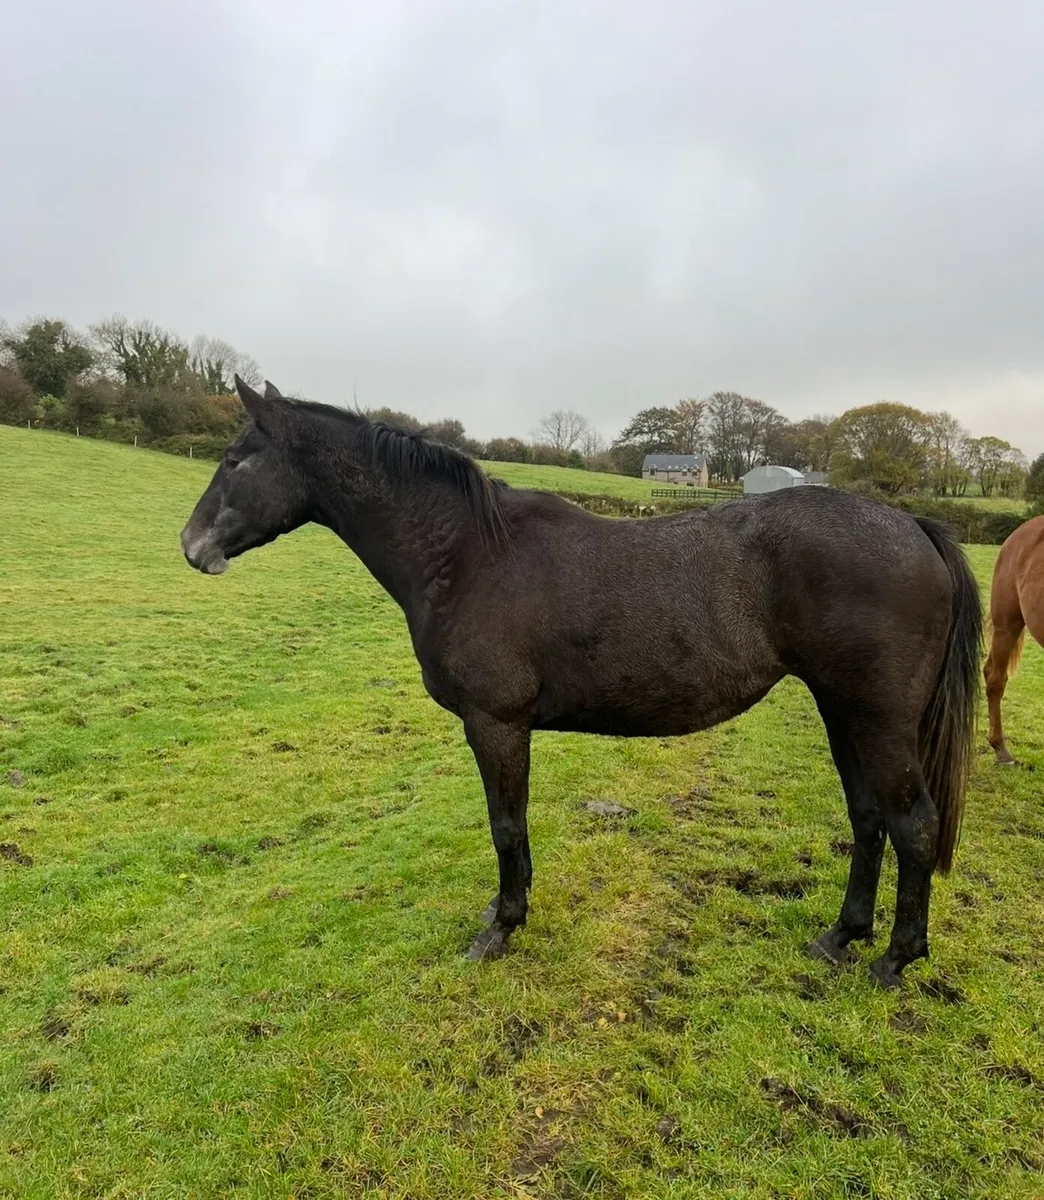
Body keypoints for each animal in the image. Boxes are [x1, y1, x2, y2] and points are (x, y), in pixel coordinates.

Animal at [180, 378, 981, 988]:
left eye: (236, 460)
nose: (191, 547)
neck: (468, 555)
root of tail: (912, 524)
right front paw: (504, 916)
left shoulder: (496, 722)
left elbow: (507, 826)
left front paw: (499, 930)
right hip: (842, 711)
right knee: (869, 819)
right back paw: (840, 937)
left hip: (876, 718)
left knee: (913, 825)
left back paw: (893, 962)